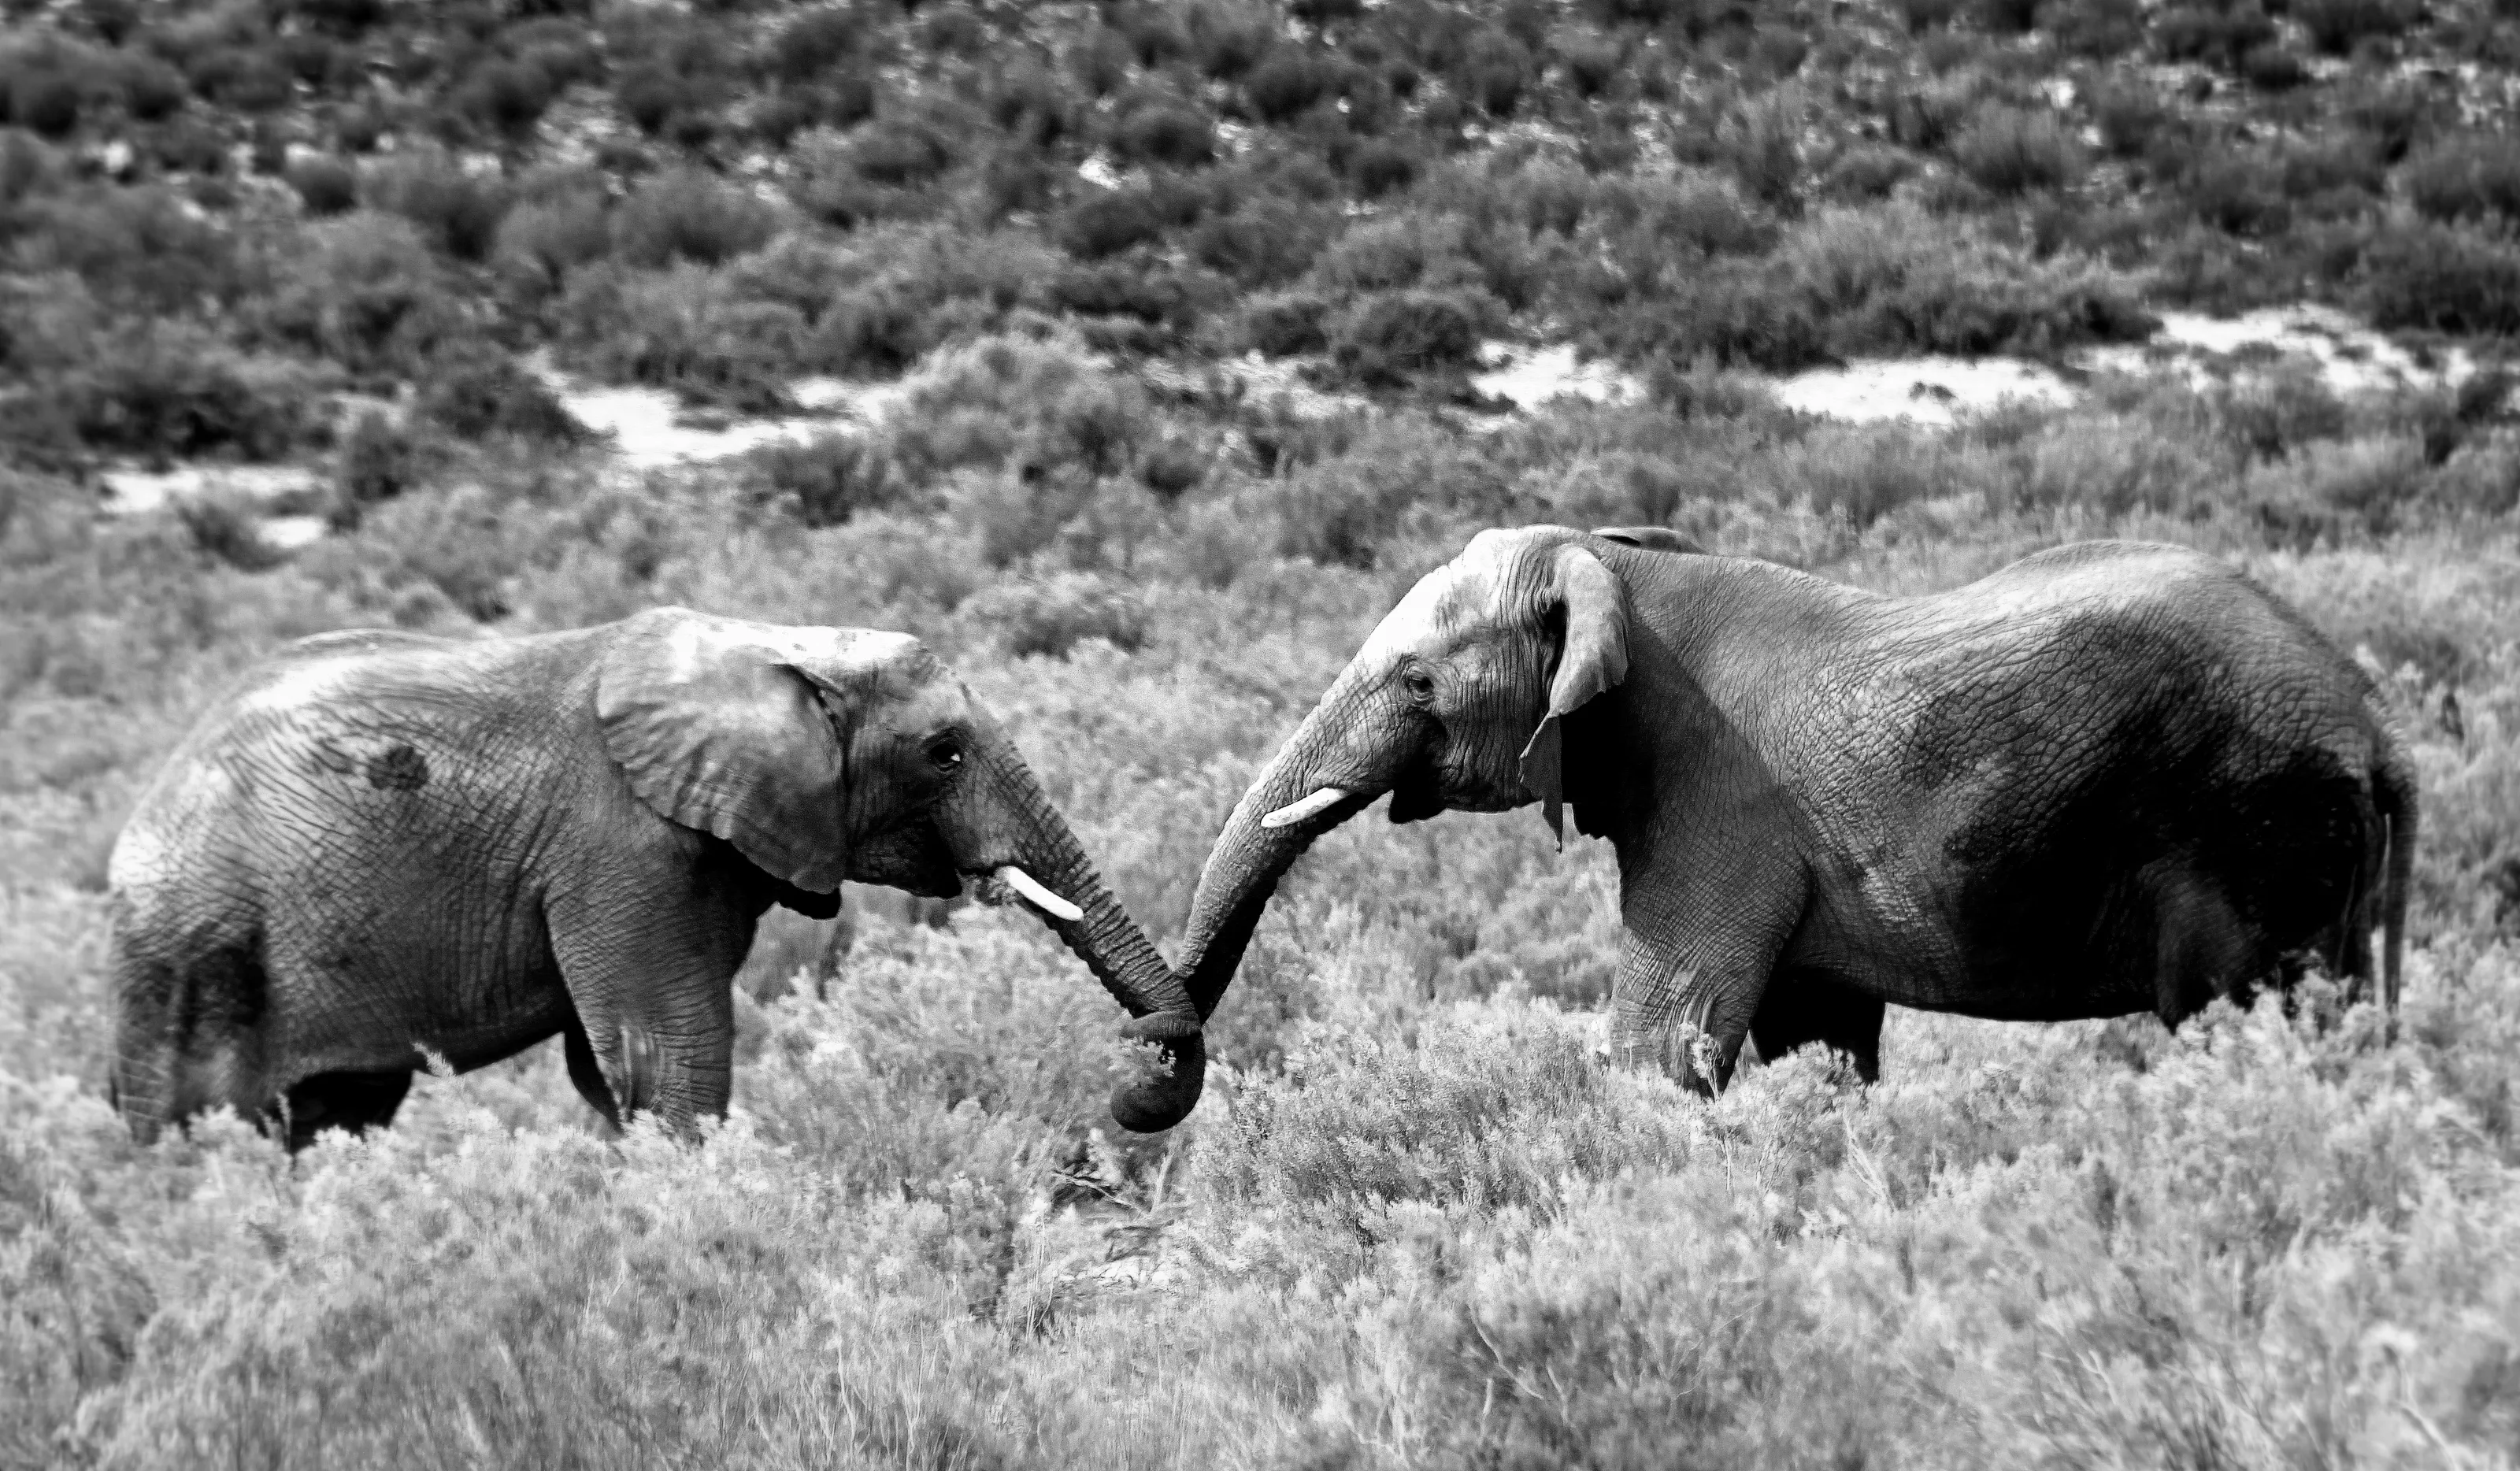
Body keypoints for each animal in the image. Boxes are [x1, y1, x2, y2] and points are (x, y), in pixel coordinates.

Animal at [108, 607, 1204, 1149]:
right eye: (944, 753)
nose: (1131, 1084)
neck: (770, 642)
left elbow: (614, 1072)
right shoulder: (620, 847)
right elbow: (663, 1057)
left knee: (336, 1114)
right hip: (192, 940)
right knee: (189, 1118)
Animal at [1123, 526, 2413, 1121]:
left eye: (1417, 683)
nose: (1145, 1079)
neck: (1617, 564)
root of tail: (2373, 721)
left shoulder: (1717, 800)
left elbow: (1661, 1043)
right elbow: (1820, 1042)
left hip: (2259, 828)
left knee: (2250, 1021)